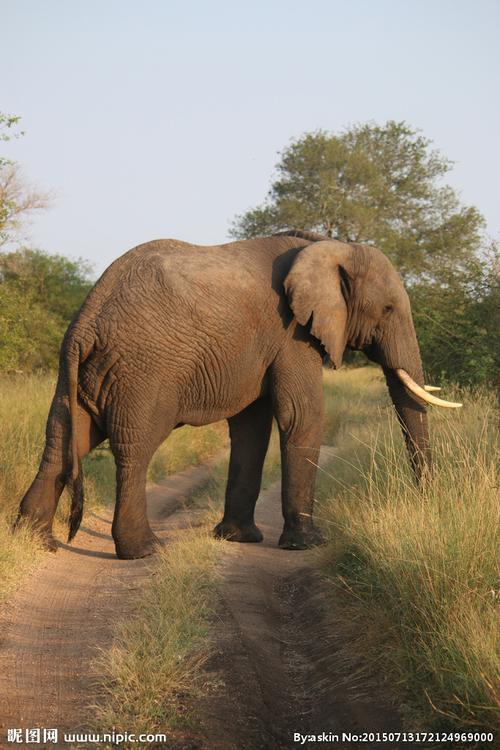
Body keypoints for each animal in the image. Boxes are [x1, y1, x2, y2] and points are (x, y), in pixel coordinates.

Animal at [17, 230, 461, 559]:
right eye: (387, 310)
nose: (428, 505)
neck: (328, 244)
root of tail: (86, 321)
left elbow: (252, 427)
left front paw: (237, 538)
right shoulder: (291, 333)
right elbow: (302, 414)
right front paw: (308, 544)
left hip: (84, 374)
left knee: (62, 442)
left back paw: (36, 541)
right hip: (142, 370)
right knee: (135, 449)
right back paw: (144, 550)